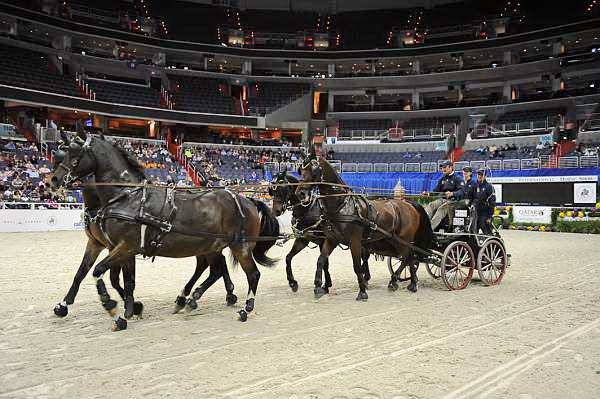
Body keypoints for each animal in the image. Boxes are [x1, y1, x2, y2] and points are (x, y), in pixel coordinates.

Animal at [54, 183, 237, 320]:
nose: (54, 182)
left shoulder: (124, 247)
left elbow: (122, 278)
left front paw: (132, 306)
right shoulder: (99, 244)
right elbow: (84, 273)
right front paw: (63, 305)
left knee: (212, 267)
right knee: (210, 265)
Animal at [294, 156, 432, 300]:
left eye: (314, 171)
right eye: (301, 172)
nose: (300, 193)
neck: (341, 205)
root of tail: (409, 203)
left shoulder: (354, 241)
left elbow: (356, 266)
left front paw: (362, 291)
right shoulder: (332, 239)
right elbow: (321, 260)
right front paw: (317, 287)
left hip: (403, 239)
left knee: (407, 256)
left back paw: (406, 283)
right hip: (393, 239)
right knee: (408, 257)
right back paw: (404, 283)